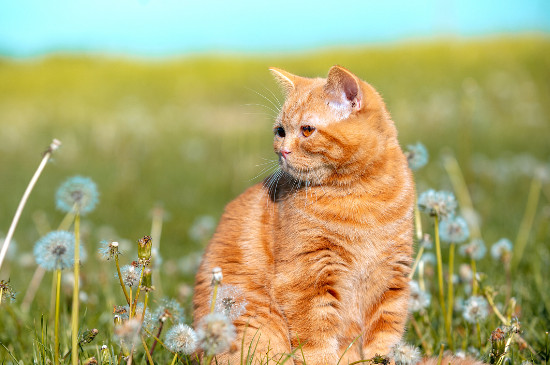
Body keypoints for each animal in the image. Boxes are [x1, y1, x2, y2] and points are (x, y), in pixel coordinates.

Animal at [193, 66, 484, 364]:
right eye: (280, 131)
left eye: (307, 130)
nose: (282, 151)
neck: (360, 195)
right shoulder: (307, 278)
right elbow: (317, 341)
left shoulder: (391, 279)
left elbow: (383, 340)